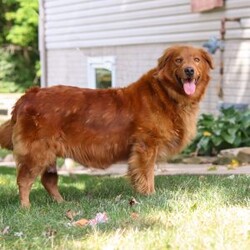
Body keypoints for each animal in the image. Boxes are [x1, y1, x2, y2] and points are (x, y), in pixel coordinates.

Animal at [0, 45, 213, 207]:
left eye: (196, 60)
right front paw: (150, 196)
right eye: (178, 60)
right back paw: (25, 207)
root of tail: (26, 95)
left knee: (48, 180)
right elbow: (147, 174)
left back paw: (61, 203)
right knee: (24, 180)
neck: (166, 93)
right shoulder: (146, 145)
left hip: (48, 152)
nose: (189, 70)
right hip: (36, 151)